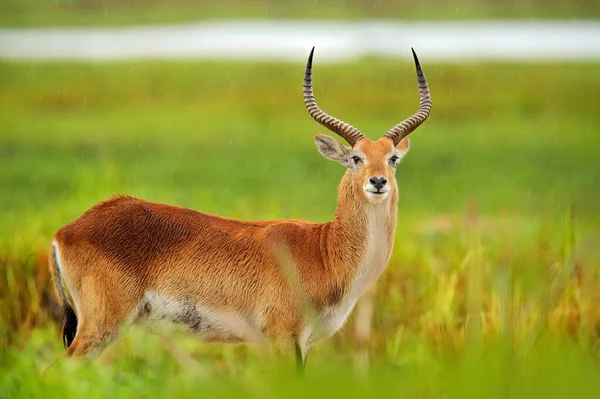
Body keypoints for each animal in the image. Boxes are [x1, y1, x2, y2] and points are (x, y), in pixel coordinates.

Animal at [48, 47, 432, 372]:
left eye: (392, 158)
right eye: (355, 158)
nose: (378, 182)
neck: (324, 250)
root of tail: (65, 231)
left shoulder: (301, 344)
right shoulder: (284, 337)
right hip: (102, 325)